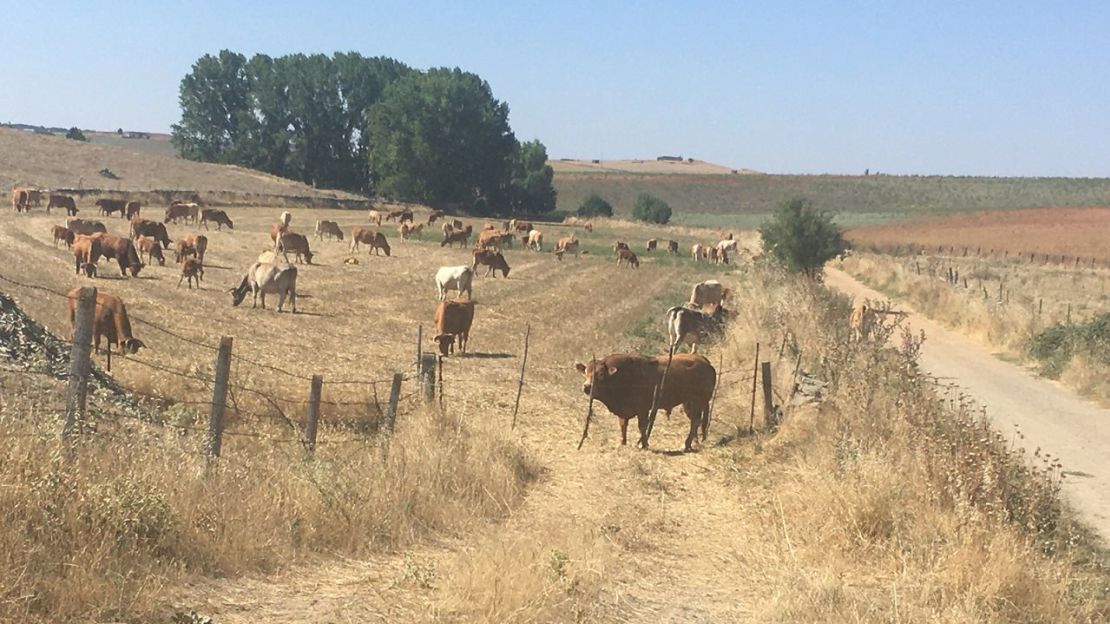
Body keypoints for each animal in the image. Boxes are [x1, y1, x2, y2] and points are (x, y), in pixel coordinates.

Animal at [577, 353, 714, 448]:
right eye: (585, 372)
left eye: (600, 374)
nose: (587, 386)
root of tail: (704, 361)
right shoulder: (624, 411)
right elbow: (623, 426)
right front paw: (623, 443)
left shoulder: (642, 410)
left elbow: (642, 426)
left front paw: (643, 444)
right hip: (688, 403)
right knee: (695, 422)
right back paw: (693, 442)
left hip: (698, 401)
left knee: (695, 421)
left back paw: (686, 444)